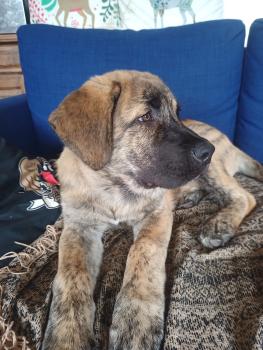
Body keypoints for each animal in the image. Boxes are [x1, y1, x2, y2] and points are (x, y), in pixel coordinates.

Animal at [41, 69, 263, 348]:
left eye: (177, 113)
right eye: (145, 117)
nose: (207, 151)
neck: (115, 185)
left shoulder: (156, 215)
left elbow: (143, 252)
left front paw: (136, 320)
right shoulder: (79, 227)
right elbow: (71, 274)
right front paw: (67, 334)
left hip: (213, 170)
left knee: (245, 196)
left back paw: (219, 225)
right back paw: (190, 198)